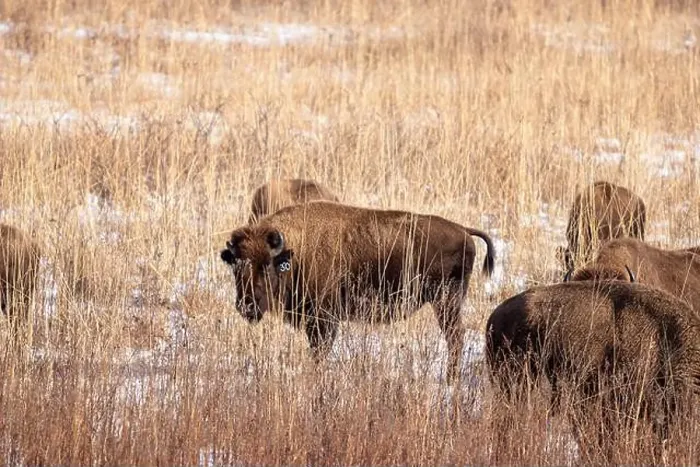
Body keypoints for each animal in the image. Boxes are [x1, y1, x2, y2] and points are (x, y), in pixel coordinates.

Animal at [221, 201, 495, 383]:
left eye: (267, 265)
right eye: (236, 266)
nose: (247, 305)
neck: (295, 250)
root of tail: (463, 230)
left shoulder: (323, 319)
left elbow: (319, 351)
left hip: (445, 301)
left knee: (455, 337)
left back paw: (450, 379)